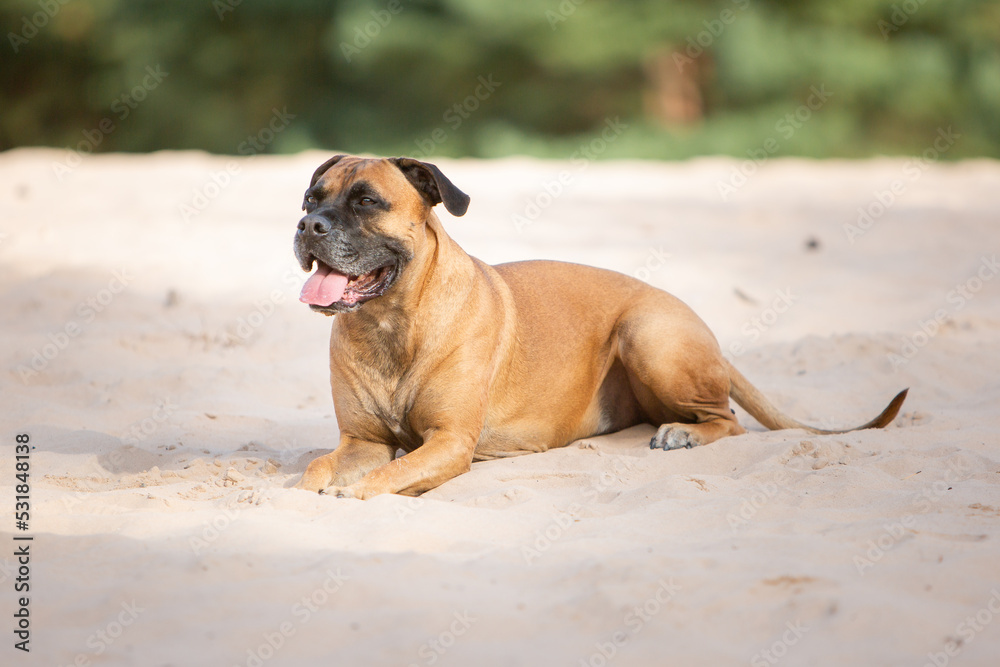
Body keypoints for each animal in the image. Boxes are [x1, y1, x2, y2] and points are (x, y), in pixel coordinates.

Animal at [290, 157, 908, 498]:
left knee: (729, 420)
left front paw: (353, 492)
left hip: (648, 336)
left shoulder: (449, 442)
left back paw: (685, 433)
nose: (307, 225)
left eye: (368, 201)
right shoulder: (363, 442)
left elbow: (385, 478)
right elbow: (318, 467)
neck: (389, 322)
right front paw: (311, 486)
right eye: (308, 198)